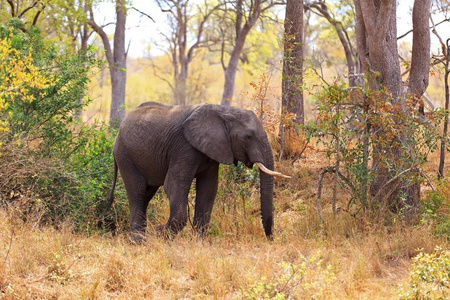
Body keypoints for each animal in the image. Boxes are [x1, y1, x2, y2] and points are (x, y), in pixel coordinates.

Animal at [103, 102, 290, 243]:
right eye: (248, 137)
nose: (271, 239)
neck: (224, 111)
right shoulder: (184, 147)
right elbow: (174, 185)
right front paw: (160, 234)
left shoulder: (213, 150)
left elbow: (208, 189)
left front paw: (200, 242)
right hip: (125, 155)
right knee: (138, 192)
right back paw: (138, 241)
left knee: (146, 194)